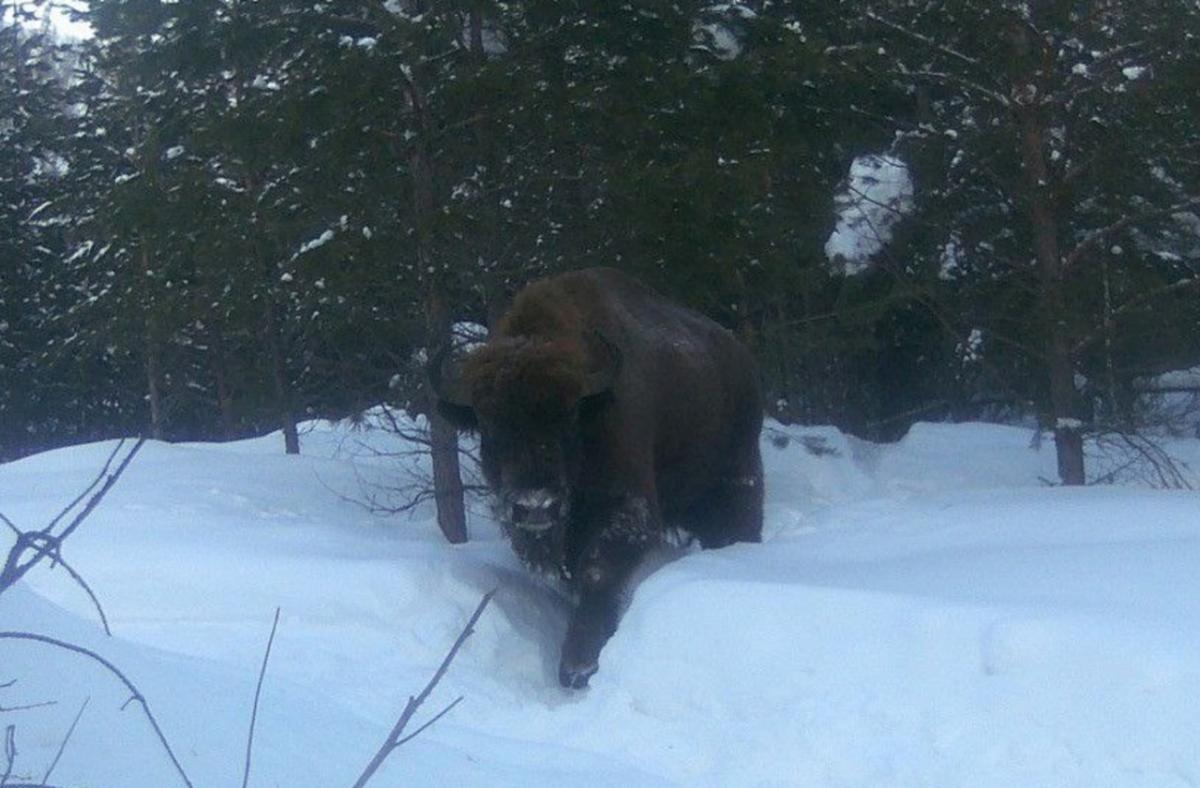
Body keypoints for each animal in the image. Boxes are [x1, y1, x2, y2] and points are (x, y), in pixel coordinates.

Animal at [432, 267, 763, 686]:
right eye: (488, 425)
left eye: (569, 418)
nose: (535, 505)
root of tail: (741, 359)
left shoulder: (627, 510)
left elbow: (597, 573)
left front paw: (578, 667)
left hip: (738, 481)